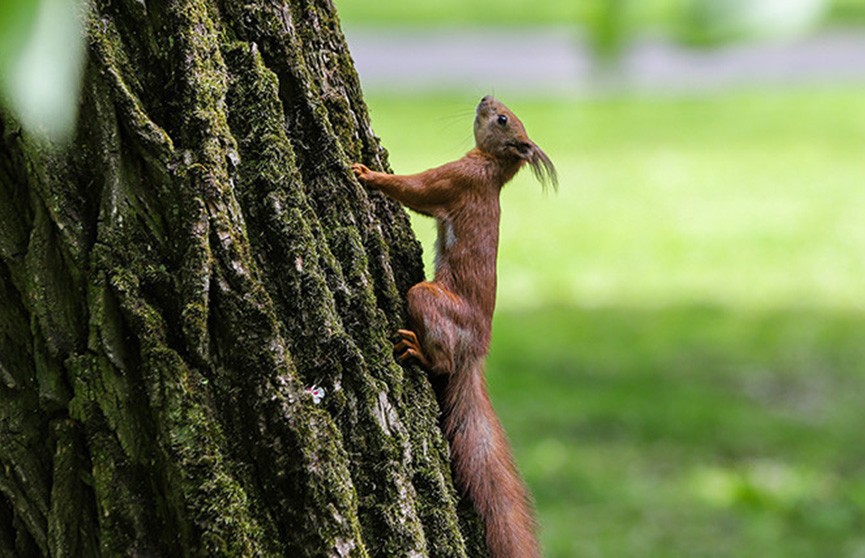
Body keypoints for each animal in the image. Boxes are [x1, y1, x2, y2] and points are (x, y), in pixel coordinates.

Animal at [352, 97, 552, 558]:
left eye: (502, 119)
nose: (485, 99)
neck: (492, 171)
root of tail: (476, 349)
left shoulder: (456, 180)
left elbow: (416, 188)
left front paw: (368, 174)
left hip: (430, 300)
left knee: (440, 361)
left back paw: (419, 352)